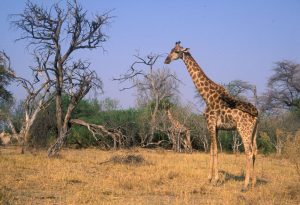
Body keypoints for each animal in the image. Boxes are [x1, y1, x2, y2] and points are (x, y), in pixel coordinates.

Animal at [164, 41, 258, 191]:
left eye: (176, 51)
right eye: (171, 49)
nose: (166, 60)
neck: (206, 96)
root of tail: (257, 115)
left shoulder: (211, 123)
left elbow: (214, 151)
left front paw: (215, 180)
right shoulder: (217, 127)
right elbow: (212, 150)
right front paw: (209, 178)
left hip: (244, 130)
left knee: (248, 152)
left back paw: (245, 185)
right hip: (254, 132)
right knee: (255, 152)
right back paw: (253, 183)